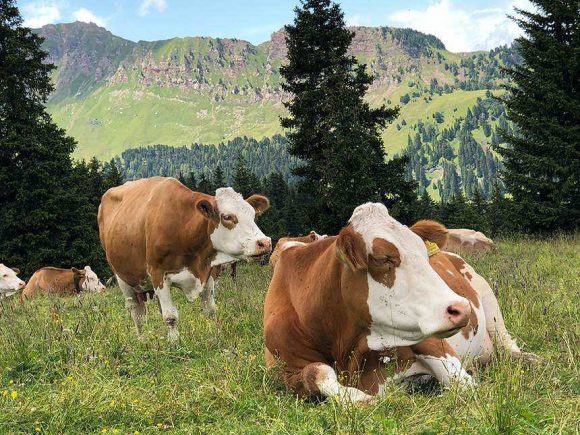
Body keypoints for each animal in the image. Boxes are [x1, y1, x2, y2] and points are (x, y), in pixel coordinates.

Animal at [98, 177, 271, 340]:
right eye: (227, 216)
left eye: (253, 214)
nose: (265, 242)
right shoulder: (158, 274)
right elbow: (170, 316)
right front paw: (175, 343)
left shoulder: (207, 272)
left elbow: (210, 309)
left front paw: (214, 336)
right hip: (123, 278)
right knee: (137, 313)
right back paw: (142, 339)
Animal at [263, 202, 471, 403]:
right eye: (383, 258)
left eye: (425, 255)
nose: (462, 308)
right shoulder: (284, 371)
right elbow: (315, 371)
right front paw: (359, 398)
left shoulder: (429, 341)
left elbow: (463, 384)